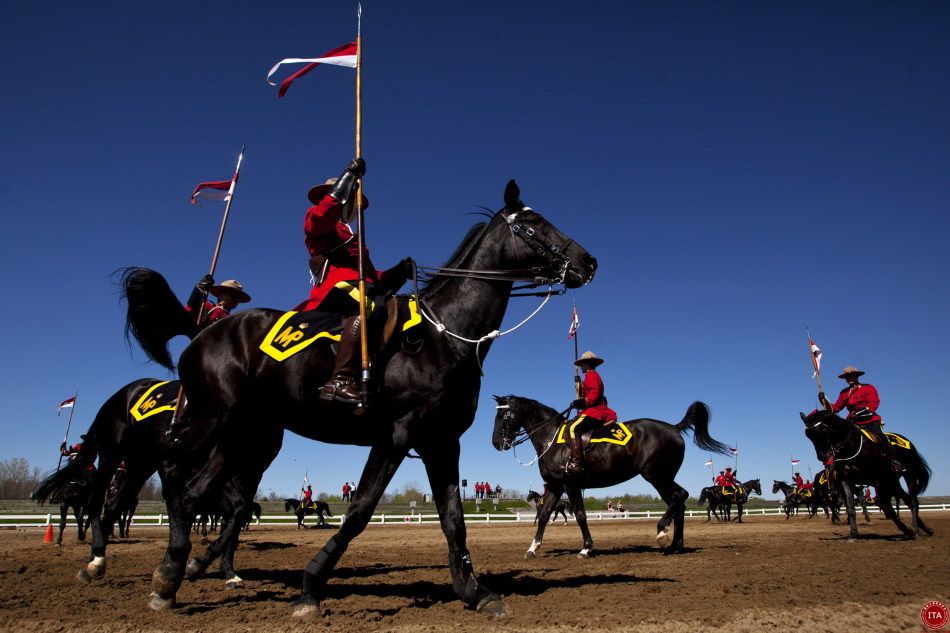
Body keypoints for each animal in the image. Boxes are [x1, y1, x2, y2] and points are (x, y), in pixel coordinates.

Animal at [119, 180, 596, 616]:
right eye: (534, 223)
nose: (588, 261)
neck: (444, 333)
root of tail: (205, 330)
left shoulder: (441, 441)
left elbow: (453, 520)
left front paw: (474, 592)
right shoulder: (396, 435)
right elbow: (360, 510)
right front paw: (312, 586)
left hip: (241, 437)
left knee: (194, 494)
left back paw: (175, 575)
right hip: (211, 422)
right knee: (174, 476)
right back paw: (167, 569)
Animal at [490, 396, 728, 556]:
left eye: (503, 415)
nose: (495, 443)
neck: (552, 438)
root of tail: (674, 428)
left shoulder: (570, 484)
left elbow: (580, 515)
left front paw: (586, 548)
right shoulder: (555, 486)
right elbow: (544, 515)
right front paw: (533, 547)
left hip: (656, 476)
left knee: (680, 496)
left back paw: (662, 531)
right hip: (661, 478)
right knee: (678, 502)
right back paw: (675, 545)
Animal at [808, 410, 932, 540]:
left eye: (822, 429)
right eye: (808, 434)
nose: (822, 456)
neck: (851, 448)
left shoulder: (878, 480)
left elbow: (884, 506)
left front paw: (907, 529)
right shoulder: (846, 482)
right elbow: (850, 507)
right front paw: (854, 533)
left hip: (908, 475)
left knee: (912, 501)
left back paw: (916, 528)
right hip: (893, 482)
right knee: (907, 499)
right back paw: (923, 528)